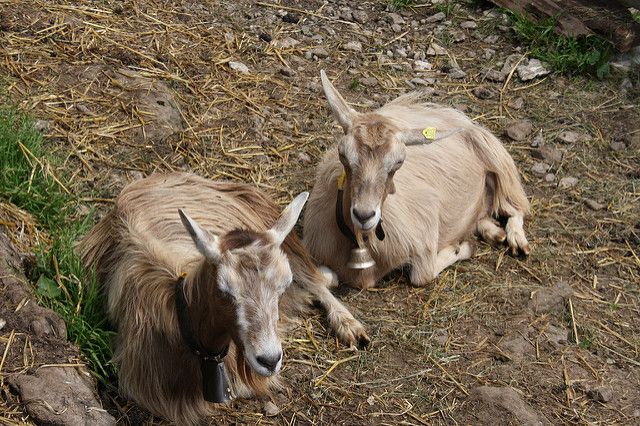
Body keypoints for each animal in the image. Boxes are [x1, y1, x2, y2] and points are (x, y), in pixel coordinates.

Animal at [302, 70, 532, 290]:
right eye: (343, 155)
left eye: (399, 162)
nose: (364, 215)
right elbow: (326, 279)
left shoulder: (425, 231)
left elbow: (422, 276)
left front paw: (462, 247)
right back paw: (493, 231)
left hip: (498, 161)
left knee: (515, 206)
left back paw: (516, 239)